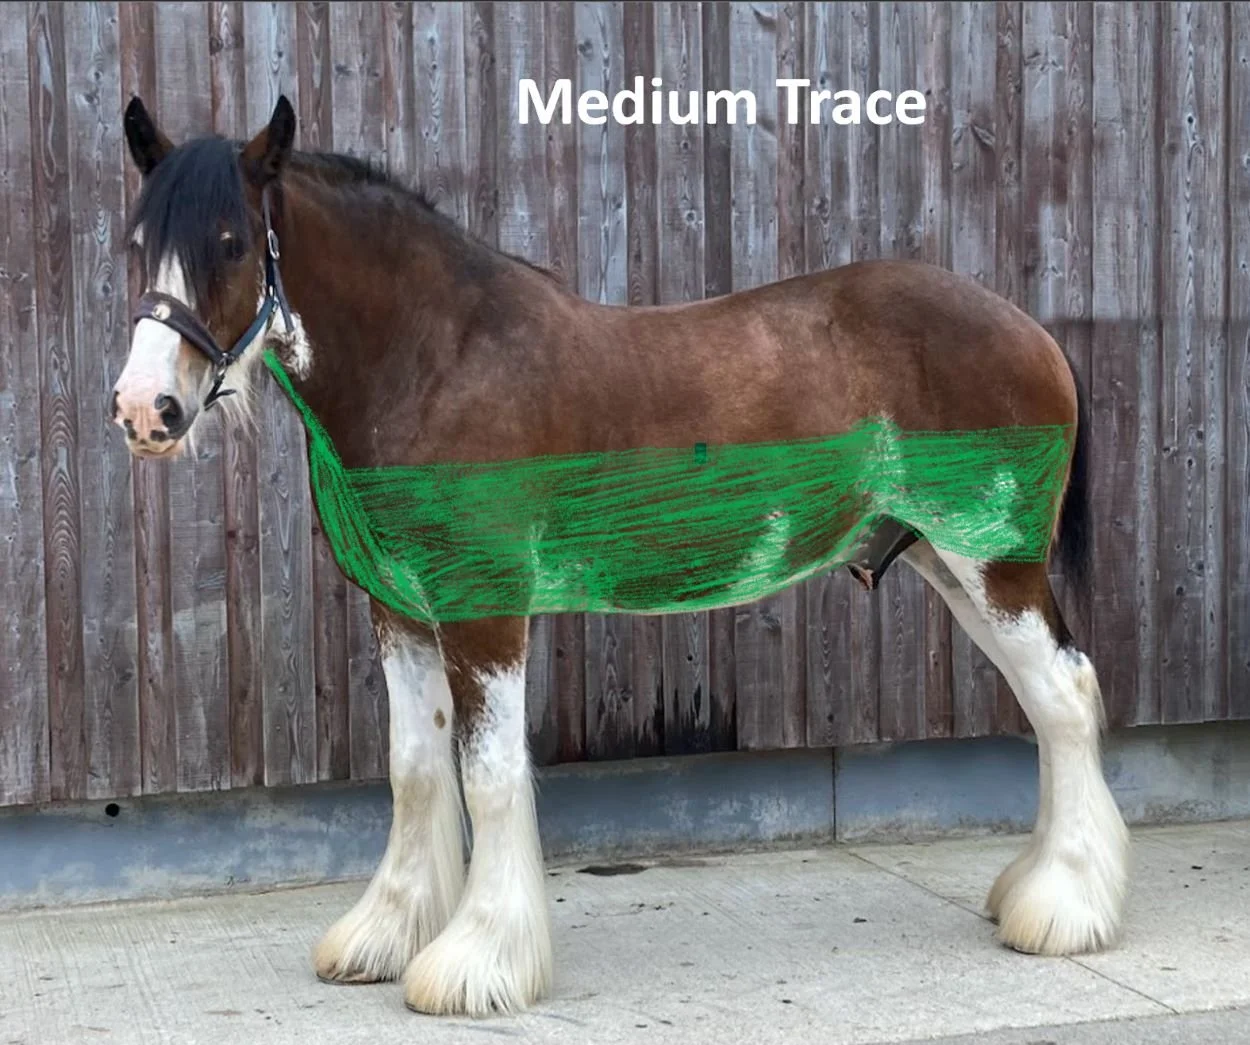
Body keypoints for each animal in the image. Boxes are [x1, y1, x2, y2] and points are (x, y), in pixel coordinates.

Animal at [111, 95, 1130, 1018]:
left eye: (232, 242)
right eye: (135, 242)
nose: (144, 410)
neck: (439, 361)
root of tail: (1029, 329)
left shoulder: (485, 611)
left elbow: (488, 773)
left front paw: (477, 963)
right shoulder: (399, 611)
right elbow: (415, 770)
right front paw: (384, 937)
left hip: (993, 566)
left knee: (1066, 694)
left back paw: (1066, 910)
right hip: (951, 569)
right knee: (1048, 701)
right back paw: (1036, 892)